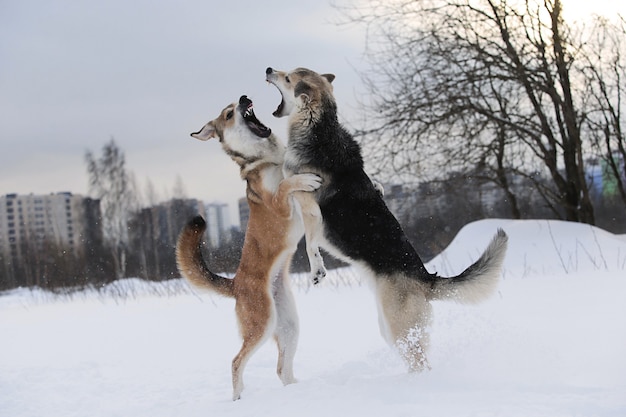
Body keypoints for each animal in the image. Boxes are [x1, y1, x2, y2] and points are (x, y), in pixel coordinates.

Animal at [177, 95, 320, 400]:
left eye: (236, 103)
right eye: (229, 114)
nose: (244, 98)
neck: (269, 158)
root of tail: (236, 284)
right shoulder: (279, 205)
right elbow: (287, 184)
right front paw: (303, 180)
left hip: (289, 325)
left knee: (282, 370)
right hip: (261, 324)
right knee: (236, 361)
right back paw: (237, 397)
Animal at [264, 68, 508, 370]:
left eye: (287, 78)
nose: (268, 70)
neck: (320, 127)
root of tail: (425, 278)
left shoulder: (310, 211)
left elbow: (309, 243)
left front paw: (317, 270)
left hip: (398, 326)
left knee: (419, 362)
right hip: (390, 328)